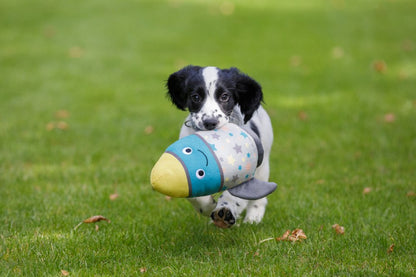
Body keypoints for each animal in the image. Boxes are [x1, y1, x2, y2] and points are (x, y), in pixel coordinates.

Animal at [166, 66, 272, 227]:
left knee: (259, 197)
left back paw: (253, 217)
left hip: (264, 164)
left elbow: (235, 195)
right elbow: (193, 193)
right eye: (195, 97)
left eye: (224, 96)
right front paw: (208, 207)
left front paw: (225, 210)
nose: (210, 122)